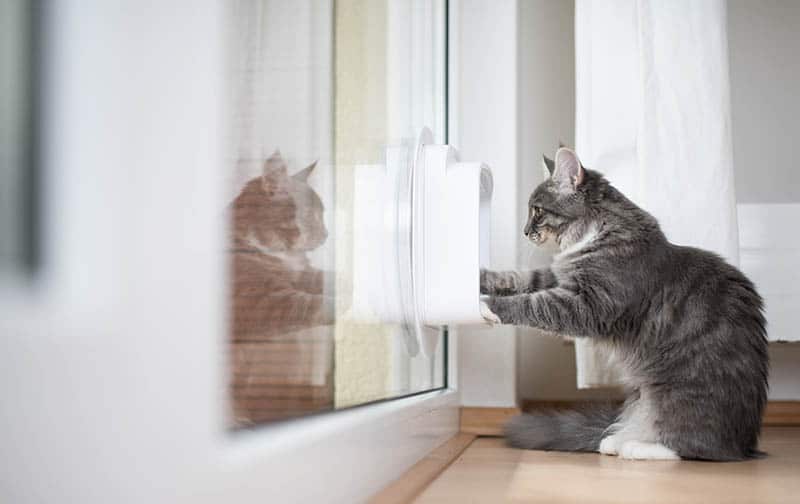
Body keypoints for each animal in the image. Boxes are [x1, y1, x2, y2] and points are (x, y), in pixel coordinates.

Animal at [482, 147, 768, 460]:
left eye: (537, 210)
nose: (524, 231)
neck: (595, 233)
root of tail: (745, 445)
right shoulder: (559, 278)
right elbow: (518, 278)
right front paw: (478, 278)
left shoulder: (588, 304)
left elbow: (529, 304)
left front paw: (487, 306)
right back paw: (615, 440)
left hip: (676, 395)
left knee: (691, 446)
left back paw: (636, 447)